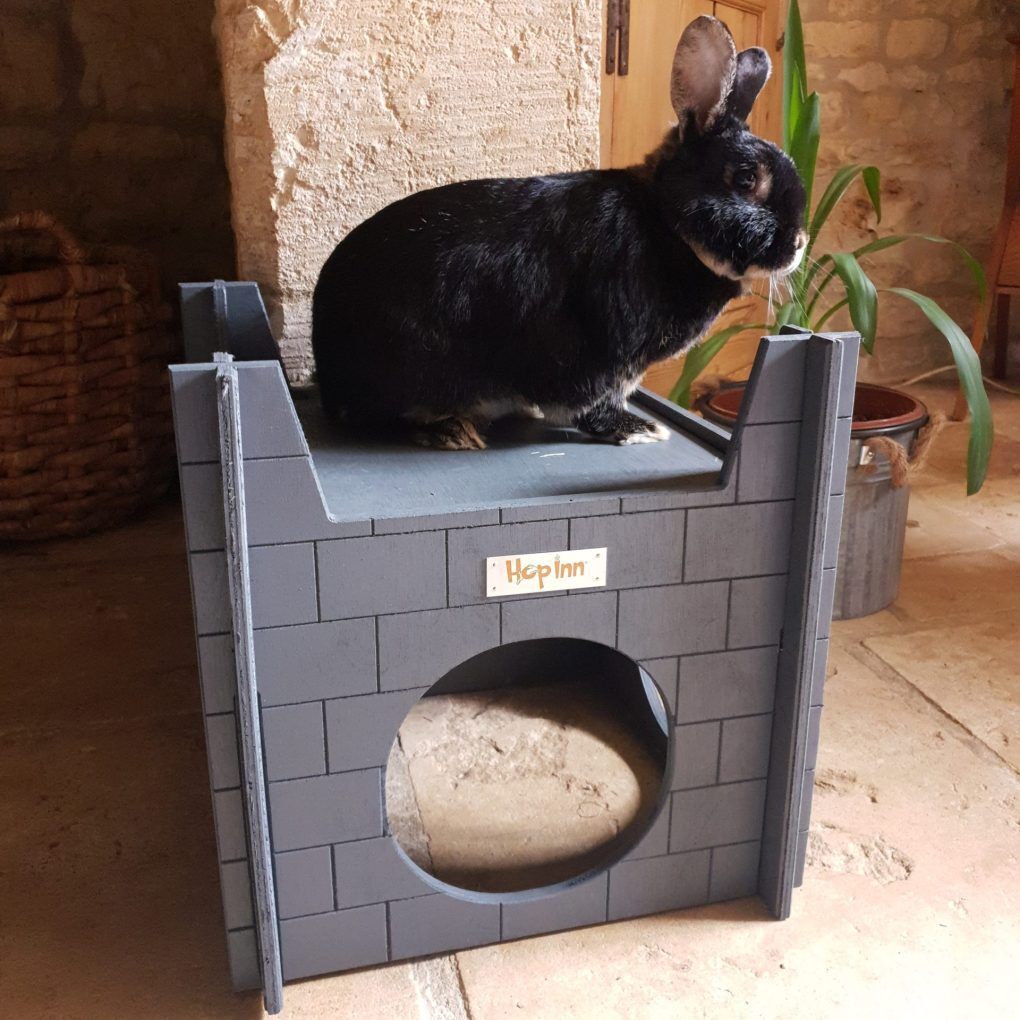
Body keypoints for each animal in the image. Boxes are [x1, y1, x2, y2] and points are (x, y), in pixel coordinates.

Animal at [312, 15, 807, 450]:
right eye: (746, 179)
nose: (800, 243)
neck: (666, 224)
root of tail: (327, 371)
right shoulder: (597, 354)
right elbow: (590, 404)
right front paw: (638, 429)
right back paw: (451, 431)